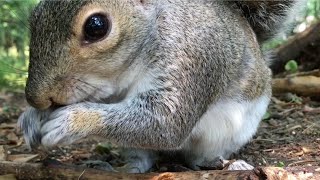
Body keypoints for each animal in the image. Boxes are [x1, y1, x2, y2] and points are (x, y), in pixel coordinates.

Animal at [18, 0, 304, 173]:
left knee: (199, 156)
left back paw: (222, 163)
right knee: (140, 156)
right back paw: (123, 168)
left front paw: (70, 121)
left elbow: (165, 123)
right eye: (34, 16)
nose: (36, 98)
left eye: (96, 26)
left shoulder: (192, 56)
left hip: (230, 133)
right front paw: (32, 119)